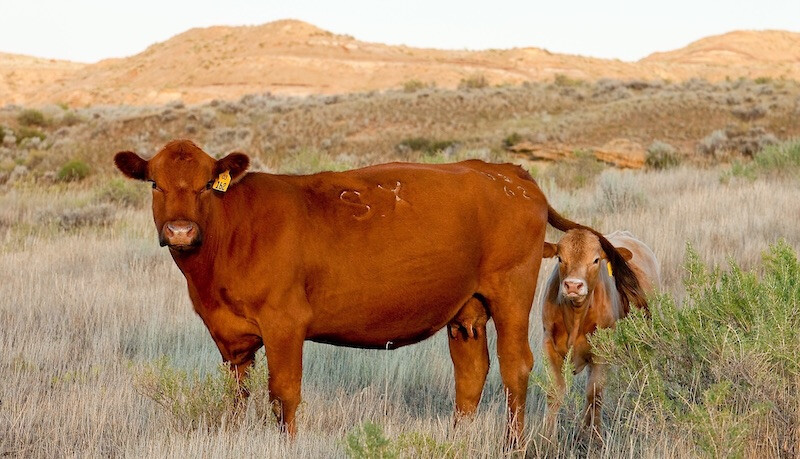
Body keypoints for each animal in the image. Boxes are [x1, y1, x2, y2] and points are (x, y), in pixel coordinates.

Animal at [113, 139, 646, 444]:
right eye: (155, 184)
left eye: (208, 184)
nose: (181, 231)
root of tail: (510, 173)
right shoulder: (229, 337)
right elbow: (235, 396)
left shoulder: (285, 323)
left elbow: (283, 394)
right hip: (467, 309)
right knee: (470, 374)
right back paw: (456, 441)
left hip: (511, 293)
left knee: (516, 369)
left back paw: (511, 446)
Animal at [541, 229, 659, 437]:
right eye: (560, 258)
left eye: (595, 260)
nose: (573, 285)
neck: (575, 317)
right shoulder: (549, 346)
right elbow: (555, 392)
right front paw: (546, 439)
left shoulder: (602, 353)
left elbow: (594, 394)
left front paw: (593, 437)